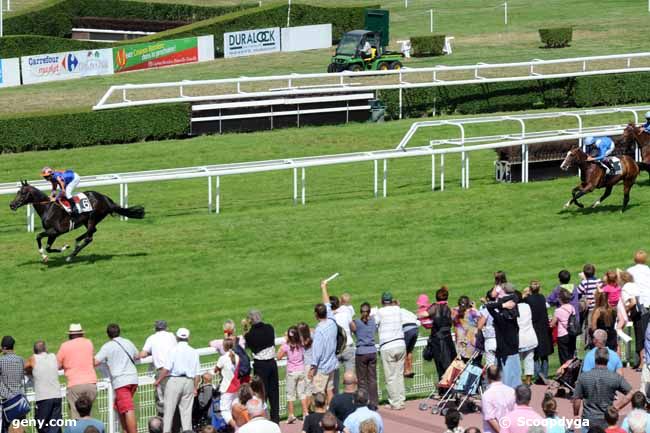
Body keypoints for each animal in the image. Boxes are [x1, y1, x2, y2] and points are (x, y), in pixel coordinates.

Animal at [9, 180, 143, 262]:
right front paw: (62, 248)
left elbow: (38, 236)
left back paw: (71, 255)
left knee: (89, 237)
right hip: (87, 220)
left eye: (23, 193)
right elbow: (48, 247)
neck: (48, 207)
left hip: (93, 216)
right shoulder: (53, 233)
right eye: (17, 192)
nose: (12, 205)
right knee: (92, 232)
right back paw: (77, 241)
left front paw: (44, 255)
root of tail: (106, 199)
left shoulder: (56, 231)